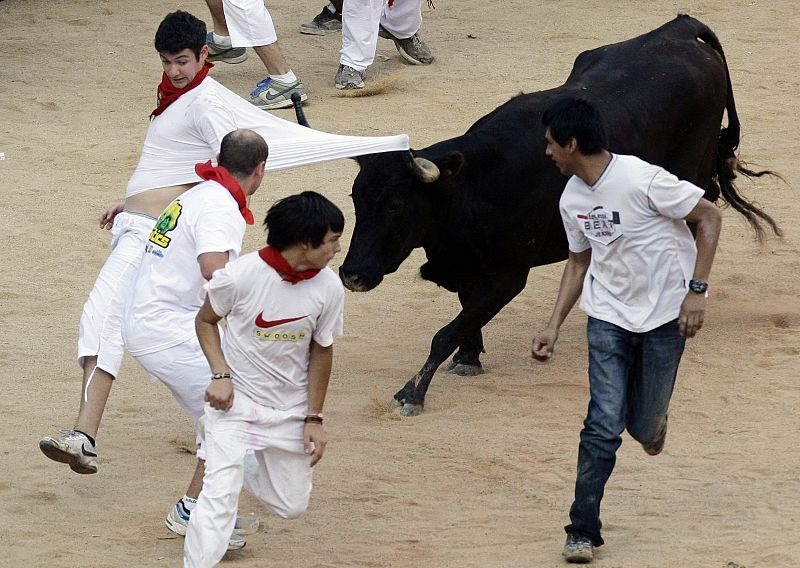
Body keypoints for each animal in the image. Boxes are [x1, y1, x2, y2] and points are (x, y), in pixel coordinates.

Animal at [340, 16, 780, 418]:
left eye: (396, 205)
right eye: (355, 200)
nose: (351, 275)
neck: (472, 188)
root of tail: (681, 27)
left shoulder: (508, 277)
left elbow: (445, 333)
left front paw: (411, 393)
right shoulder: (469, 267)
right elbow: (465, 316)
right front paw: (469, 359)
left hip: (691, 174)